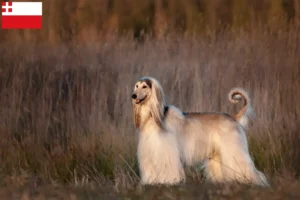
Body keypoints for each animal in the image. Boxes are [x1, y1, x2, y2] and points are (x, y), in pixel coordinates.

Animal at [131, 76, 270, 186]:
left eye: (144, 86)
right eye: (136, 86)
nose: (133, 96)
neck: (153, 117)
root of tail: (233, 117)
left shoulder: (166, 151)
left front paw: (169, 181)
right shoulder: (149, 151)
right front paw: (151, 181)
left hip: (233, 149)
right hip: (218, 153)